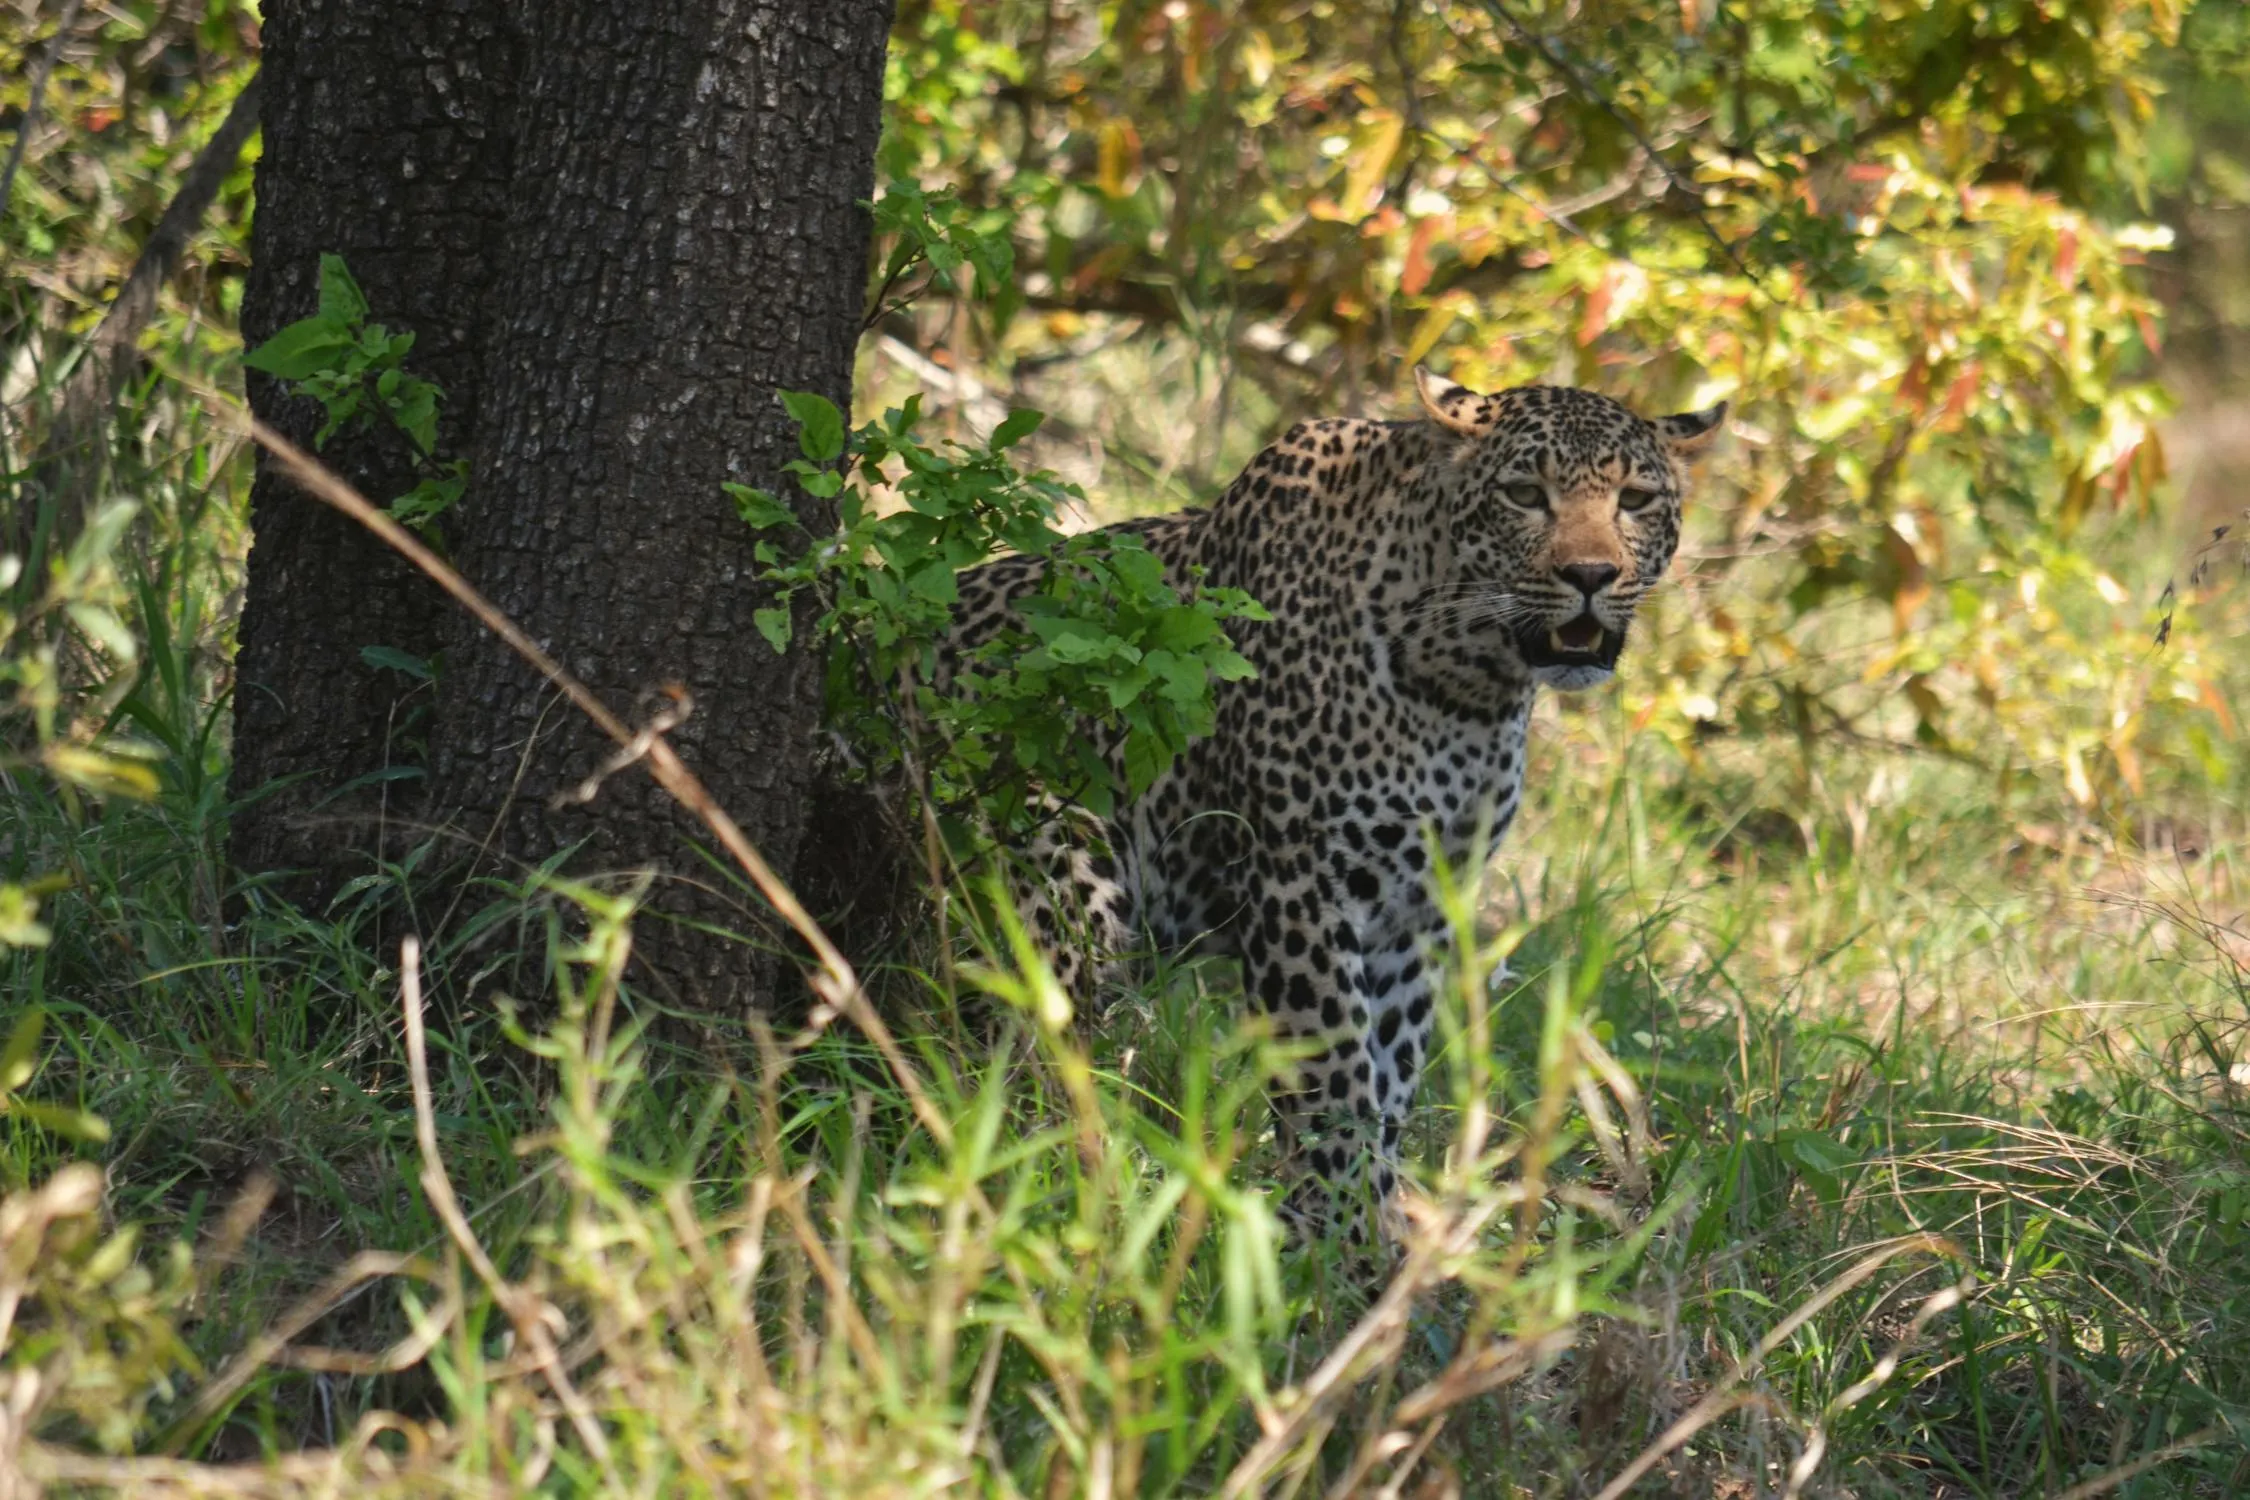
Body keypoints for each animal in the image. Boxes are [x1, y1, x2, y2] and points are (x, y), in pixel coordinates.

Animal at [945, 367, 1725, 1245]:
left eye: (1634, 499)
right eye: (1526, 494)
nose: (1591, 576)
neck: (1465, 683)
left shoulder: (1416, 911)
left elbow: (1388, 1076)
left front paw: (1365, 1226)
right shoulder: (1302, 886)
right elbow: (1335, 1074)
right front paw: (1347, 1237)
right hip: (1057, 879)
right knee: (1025, 1059)